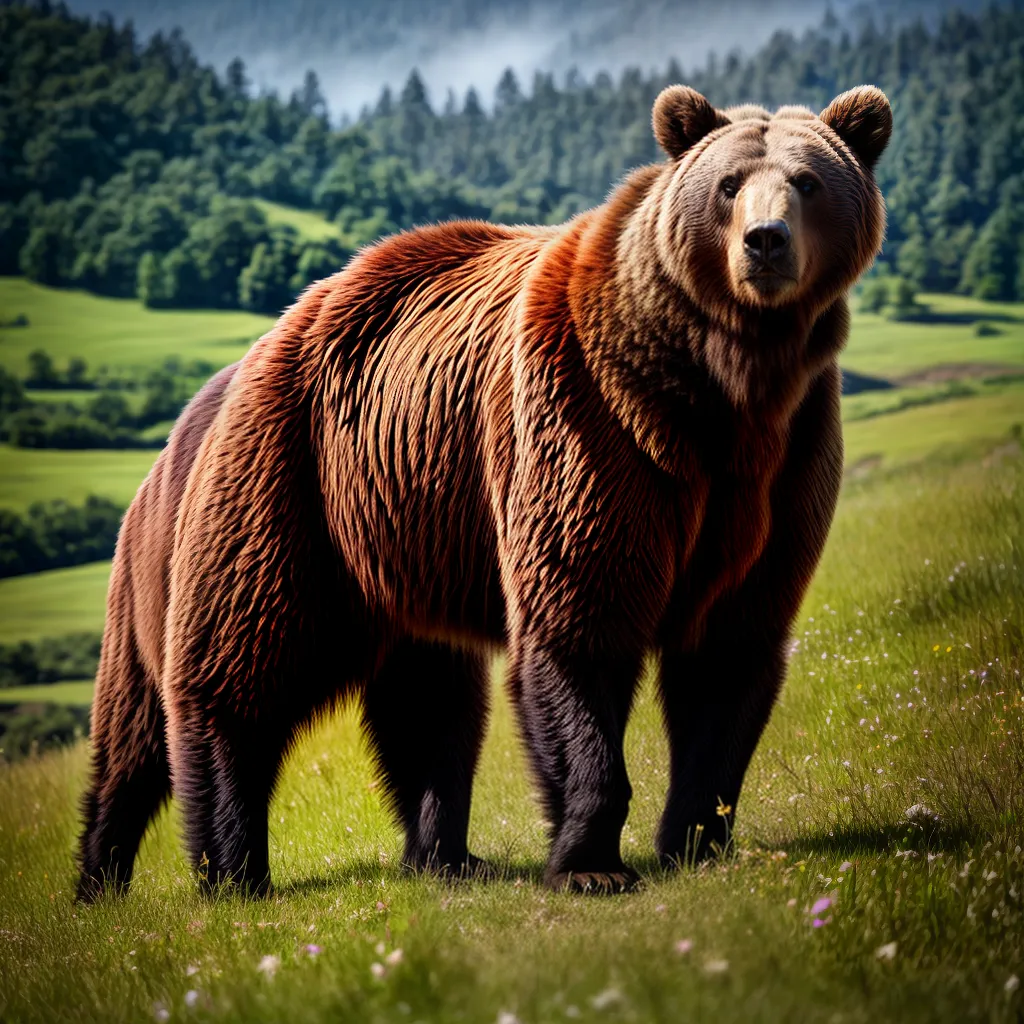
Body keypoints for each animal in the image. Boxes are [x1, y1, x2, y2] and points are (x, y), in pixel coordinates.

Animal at [77, 83, 891, 899]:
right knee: (218, 681)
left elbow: (729, 652)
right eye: (727, 184)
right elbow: (579, 624)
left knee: (430, 703)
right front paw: (591, 863)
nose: (765, 241)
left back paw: (445, 855)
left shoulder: (780, 463)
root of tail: (232, 374)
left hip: (407, 524)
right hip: (286, 486)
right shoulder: (592, 422)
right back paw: (191, 870)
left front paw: (695, 839)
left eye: (808, 182)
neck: (721, 384)